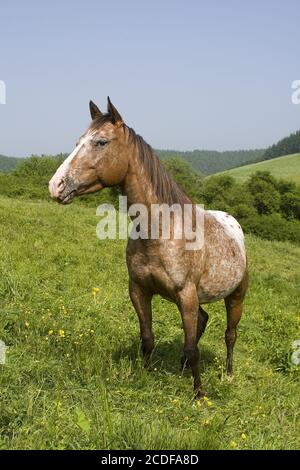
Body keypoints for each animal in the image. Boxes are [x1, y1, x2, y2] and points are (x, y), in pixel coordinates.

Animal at [48, 97, 247, 398]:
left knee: (230, 335)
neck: (161, 232)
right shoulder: (139, 291)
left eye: (101, 142)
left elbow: (193, 347)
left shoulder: (186, 296)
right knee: (202, 322)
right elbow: (148, 338)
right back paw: (182, 368)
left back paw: (229, 374)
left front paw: (199, 395)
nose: (55, 185)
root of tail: (233, 224)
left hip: (236, 296)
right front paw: (145, 374)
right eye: (77, 141)